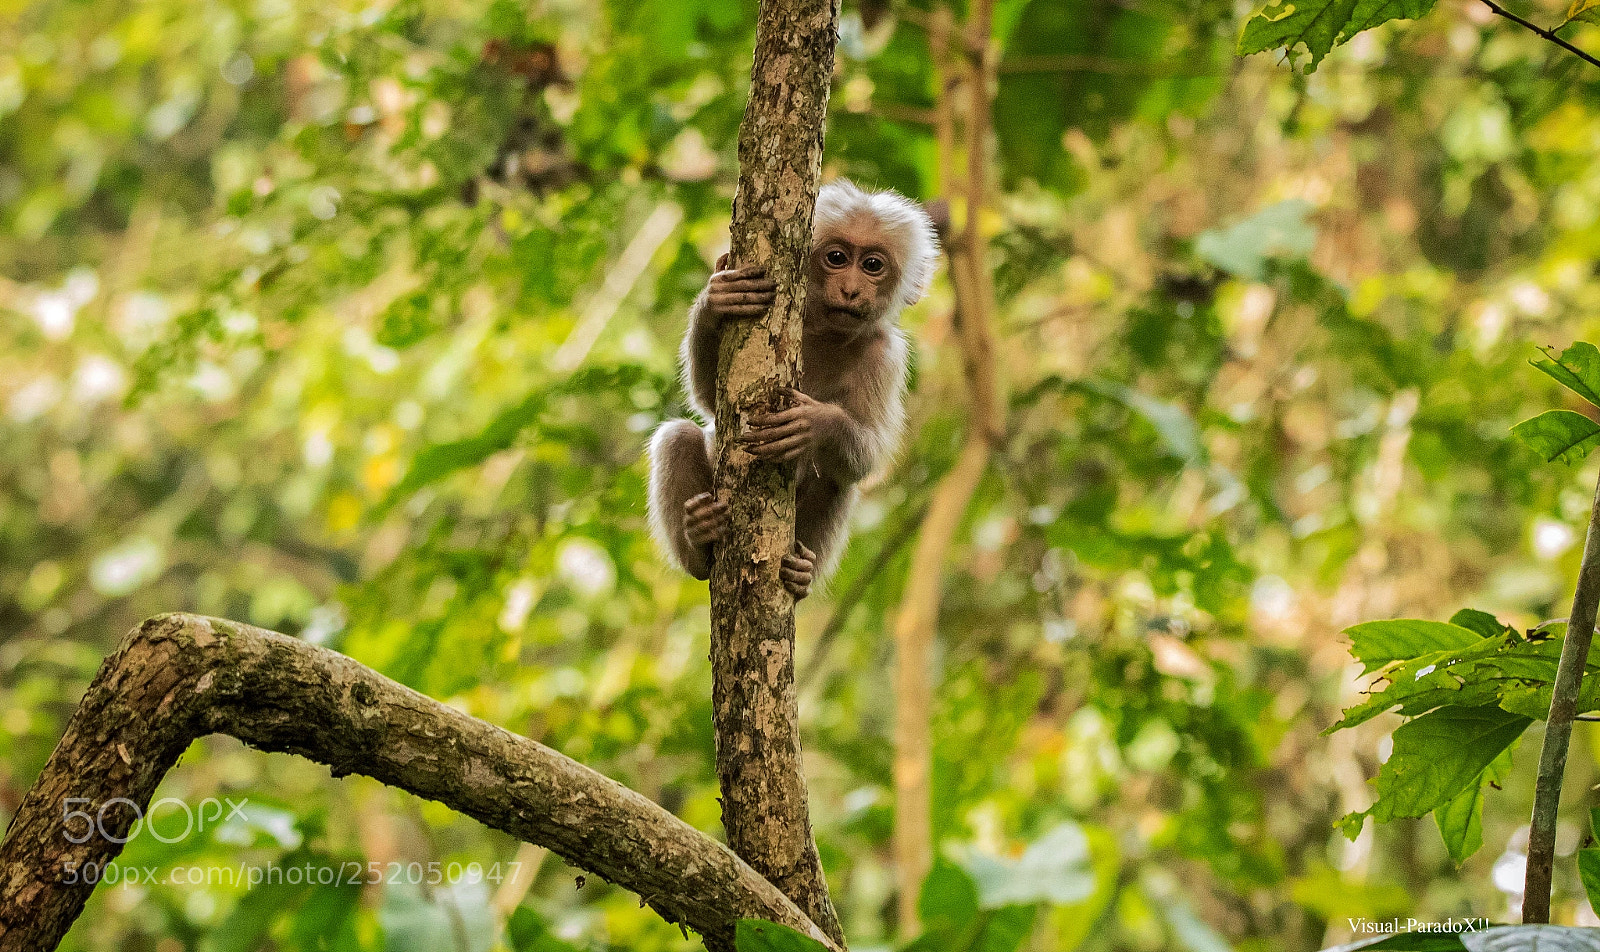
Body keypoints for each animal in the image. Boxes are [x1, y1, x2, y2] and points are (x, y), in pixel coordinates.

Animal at [648, 180, 938, 599]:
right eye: (837, 258)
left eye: (872, 266)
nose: (850, 290)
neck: (822, 332)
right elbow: (708, 402)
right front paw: (715, 303)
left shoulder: (885, 357)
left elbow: (869, 454)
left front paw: (812, 423)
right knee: (678, 436)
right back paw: (699, 540)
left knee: (838, 478)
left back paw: (801, 574)